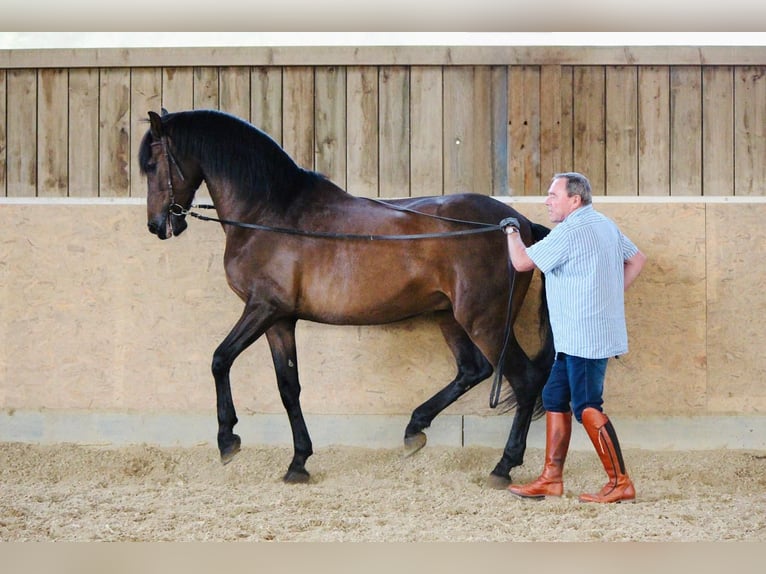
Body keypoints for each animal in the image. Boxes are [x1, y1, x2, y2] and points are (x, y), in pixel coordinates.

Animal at [139, 108, 554, 488]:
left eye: (153, 164)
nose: (157, 225)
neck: (270, 213)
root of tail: (517, 224)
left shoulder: (262, 308)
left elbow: (220, 359)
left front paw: (228, 440)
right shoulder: (280, 320)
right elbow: (288, 387)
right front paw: (299, 462)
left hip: (485, 321)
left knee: (525, 379)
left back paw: (504, 465)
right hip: (449, 316)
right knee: (472, 369)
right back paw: (414, 429)